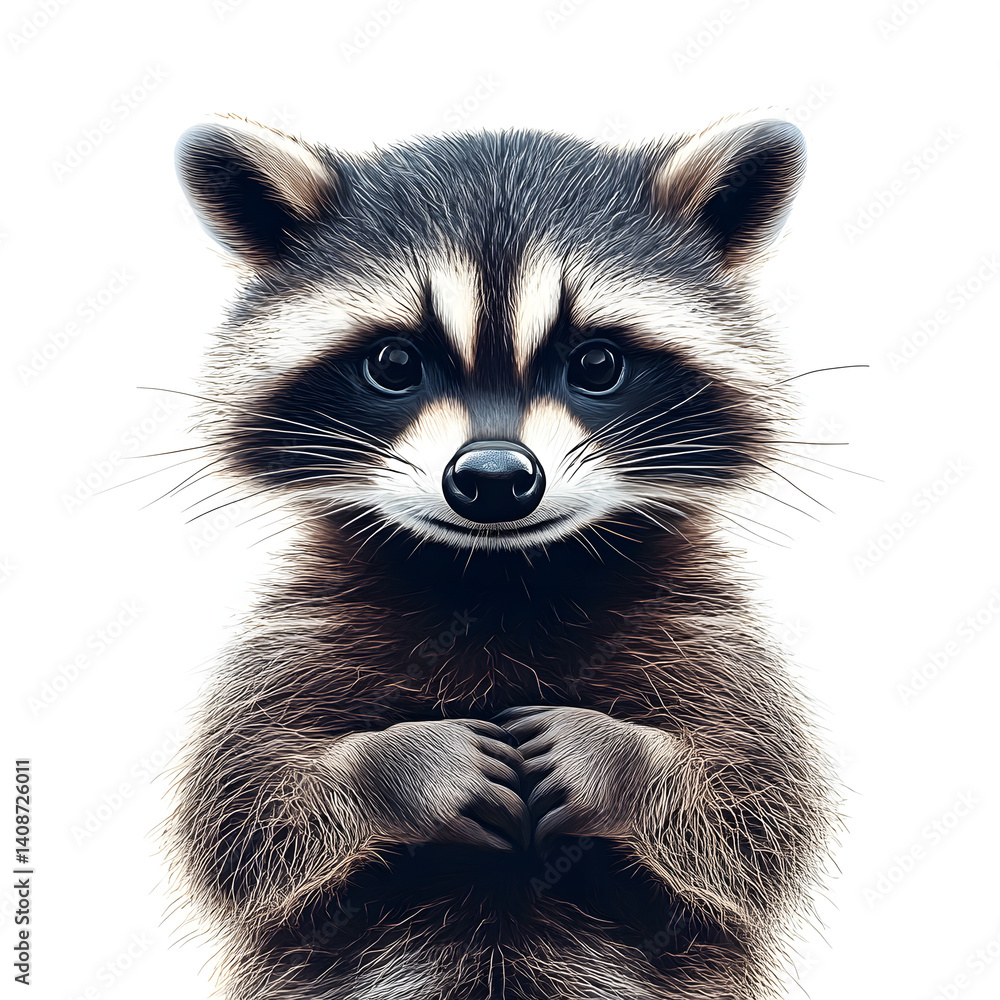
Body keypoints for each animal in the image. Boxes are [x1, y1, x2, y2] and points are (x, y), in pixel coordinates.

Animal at [166, 113, 836, 1000]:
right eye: (394, 364)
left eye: (596, 364)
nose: (490, 480)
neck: (500, 575)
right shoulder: (300, 628)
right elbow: (239, 810)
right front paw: (402, 767)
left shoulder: (708, 629)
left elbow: (760, 807)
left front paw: (614, 759)